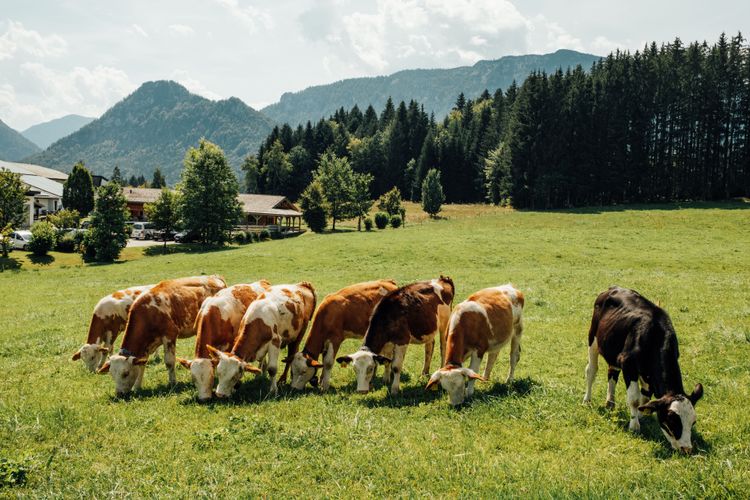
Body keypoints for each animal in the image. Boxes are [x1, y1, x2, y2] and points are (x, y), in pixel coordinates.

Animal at [97, 276, 226, 396]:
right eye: (112, 374)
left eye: (125, 373)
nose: (119, 393)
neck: (148, 313)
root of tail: (215, 277)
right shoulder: (147, 344)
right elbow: (142, 364)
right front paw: (137, 387)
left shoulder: (169, 335)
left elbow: (169, 362)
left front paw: (172, 383)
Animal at [580, 286, 704, 454]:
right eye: (672, 420)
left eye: (693, 422)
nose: (687, 449)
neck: (655, 336)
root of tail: (613, 288)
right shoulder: (628, 364)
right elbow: (634, 398)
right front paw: (634, 426)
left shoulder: (647, 374)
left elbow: (645, 398)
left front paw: (641, 415)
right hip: (593, 339)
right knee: (591, 371)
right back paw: (587, 400)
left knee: (612, 373)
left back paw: (610, 402)